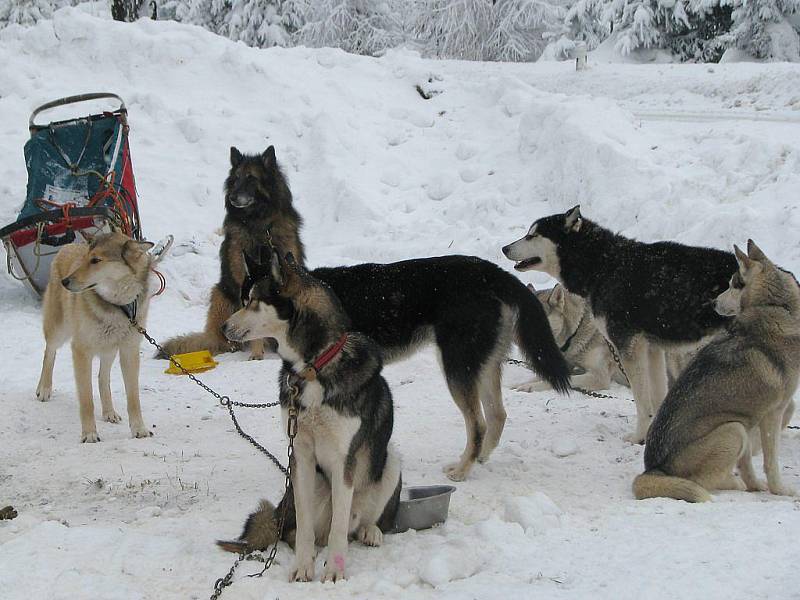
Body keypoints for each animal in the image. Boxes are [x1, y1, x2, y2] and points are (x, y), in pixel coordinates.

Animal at [35, 232, 155, 442]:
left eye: (96, 260)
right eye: (85, 259)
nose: (65, 282)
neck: (118, 307)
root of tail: (67, 246)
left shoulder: (129, 351)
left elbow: (133, 398)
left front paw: (139, 429)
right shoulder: (81, 351)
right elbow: (87, 400)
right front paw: (89, 434)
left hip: (109, 347)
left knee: (102, 377)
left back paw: (109, 412)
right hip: (59, 331)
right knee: (49, 352)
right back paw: (44, 389)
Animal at [161, 144, 568, 478]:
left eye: (251, 302)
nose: (224, 330)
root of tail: (493, 273)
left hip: (457, 365)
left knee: (480, 423)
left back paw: (463, 469)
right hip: (481, 363)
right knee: (497, 415)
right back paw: (480, 458)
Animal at [504, 209, 736, 442]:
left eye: (532, 235)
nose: (504, 248)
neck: (604, 265)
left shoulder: (627, 351)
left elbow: (642, 403)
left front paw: (638, 437)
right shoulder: (652, 350)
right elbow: (656, 397)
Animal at [636, 240, 796, 502]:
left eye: (732, 285)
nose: (712, 303)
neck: (775, 307)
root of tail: (654, 469)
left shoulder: (749, 417)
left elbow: (747, 465)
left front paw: (756, 486)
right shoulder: (772, 414)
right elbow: (771, 463)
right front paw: (780, 490)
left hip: (737, 426)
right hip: (733, 430)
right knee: (702, 482)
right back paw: (731, 483)